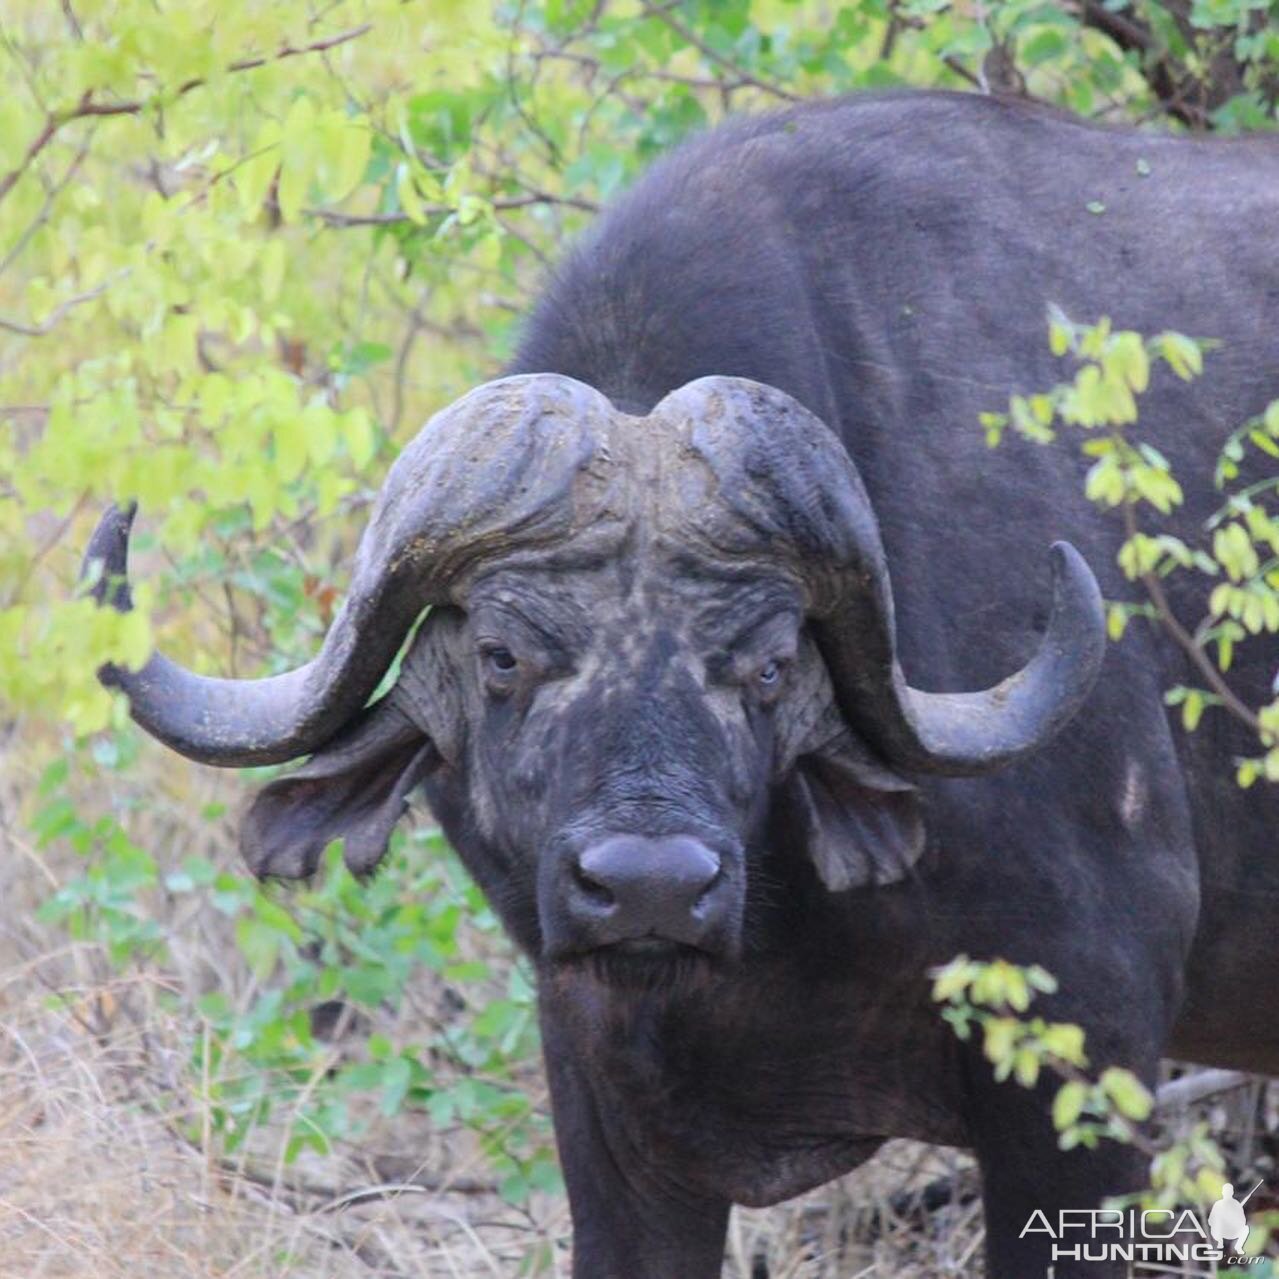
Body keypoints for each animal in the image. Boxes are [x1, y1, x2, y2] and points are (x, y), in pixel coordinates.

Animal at [87, 92, 1279, 1279]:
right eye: (502, 655)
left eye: (768, 662)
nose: (648, 886)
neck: (777, 945)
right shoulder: (607, 1103)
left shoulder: (1090, 1057)